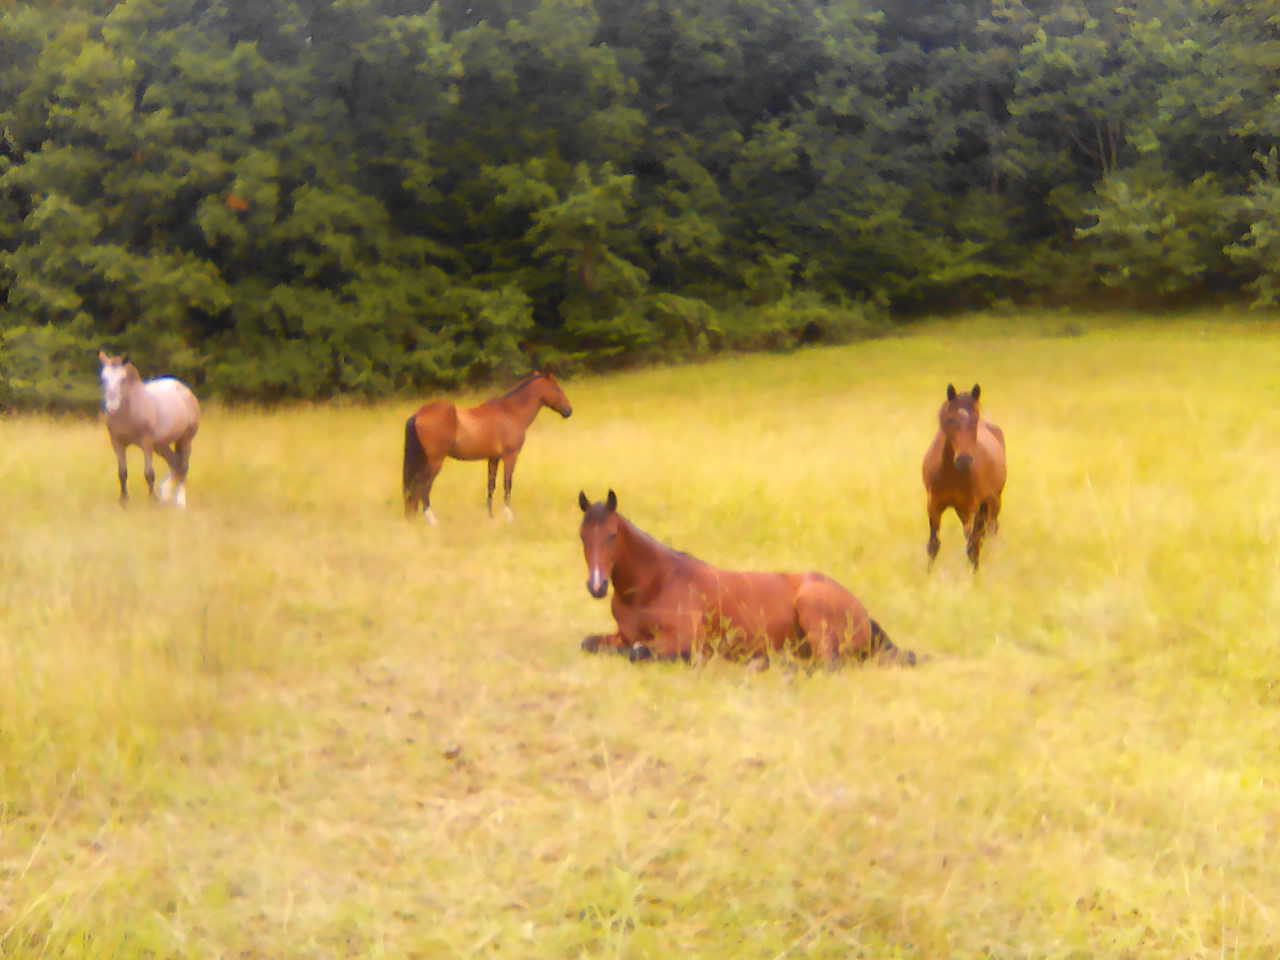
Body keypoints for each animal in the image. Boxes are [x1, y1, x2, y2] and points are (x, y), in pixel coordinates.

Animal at [98, 350, 202, 506]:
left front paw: (153, 500)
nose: (111, 408)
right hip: (161, 445)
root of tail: (185, 390)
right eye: (104, 378)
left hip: (185, 440)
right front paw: (124, 501)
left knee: (183, 467)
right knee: (175, 464)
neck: (129, 412)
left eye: (123, 379)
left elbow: (149, 473)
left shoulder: (146, 443)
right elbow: (122, 472)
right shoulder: (117, 443)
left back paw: (180, 501)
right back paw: (166, 496)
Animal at [404, 371, 576, 527]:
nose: (569, 411)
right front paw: (508, 517)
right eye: (557, 388)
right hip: (435, 462)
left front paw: (490, 516)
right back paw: (432, 520)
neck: (510, 413)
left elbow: (491, 486)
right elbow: (507, 484)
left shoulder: (493, 458)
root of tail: (418, 414)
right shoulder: (510, 457)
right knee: (423, 486)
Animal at [576, 488, 916, 670]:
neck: (654, 585)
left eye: (612, 535)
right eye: (582, 536)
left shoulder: (684, 638)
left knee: (828, 665)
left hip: (814, 612)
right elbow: (591, 643)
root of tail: (862, 612)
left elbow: (639, 652)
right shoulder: (621, 635)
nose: (596, 586)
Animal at [921, 381, 1008, 568]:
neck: (950, 473)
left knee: (989, 531)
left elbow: (971, 547)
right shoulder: (934, 505)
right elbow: (933, 545)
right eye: (950, 419)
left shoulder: (970, 508)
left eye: (975, 419)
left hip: (992, 502)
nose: (964, 460)